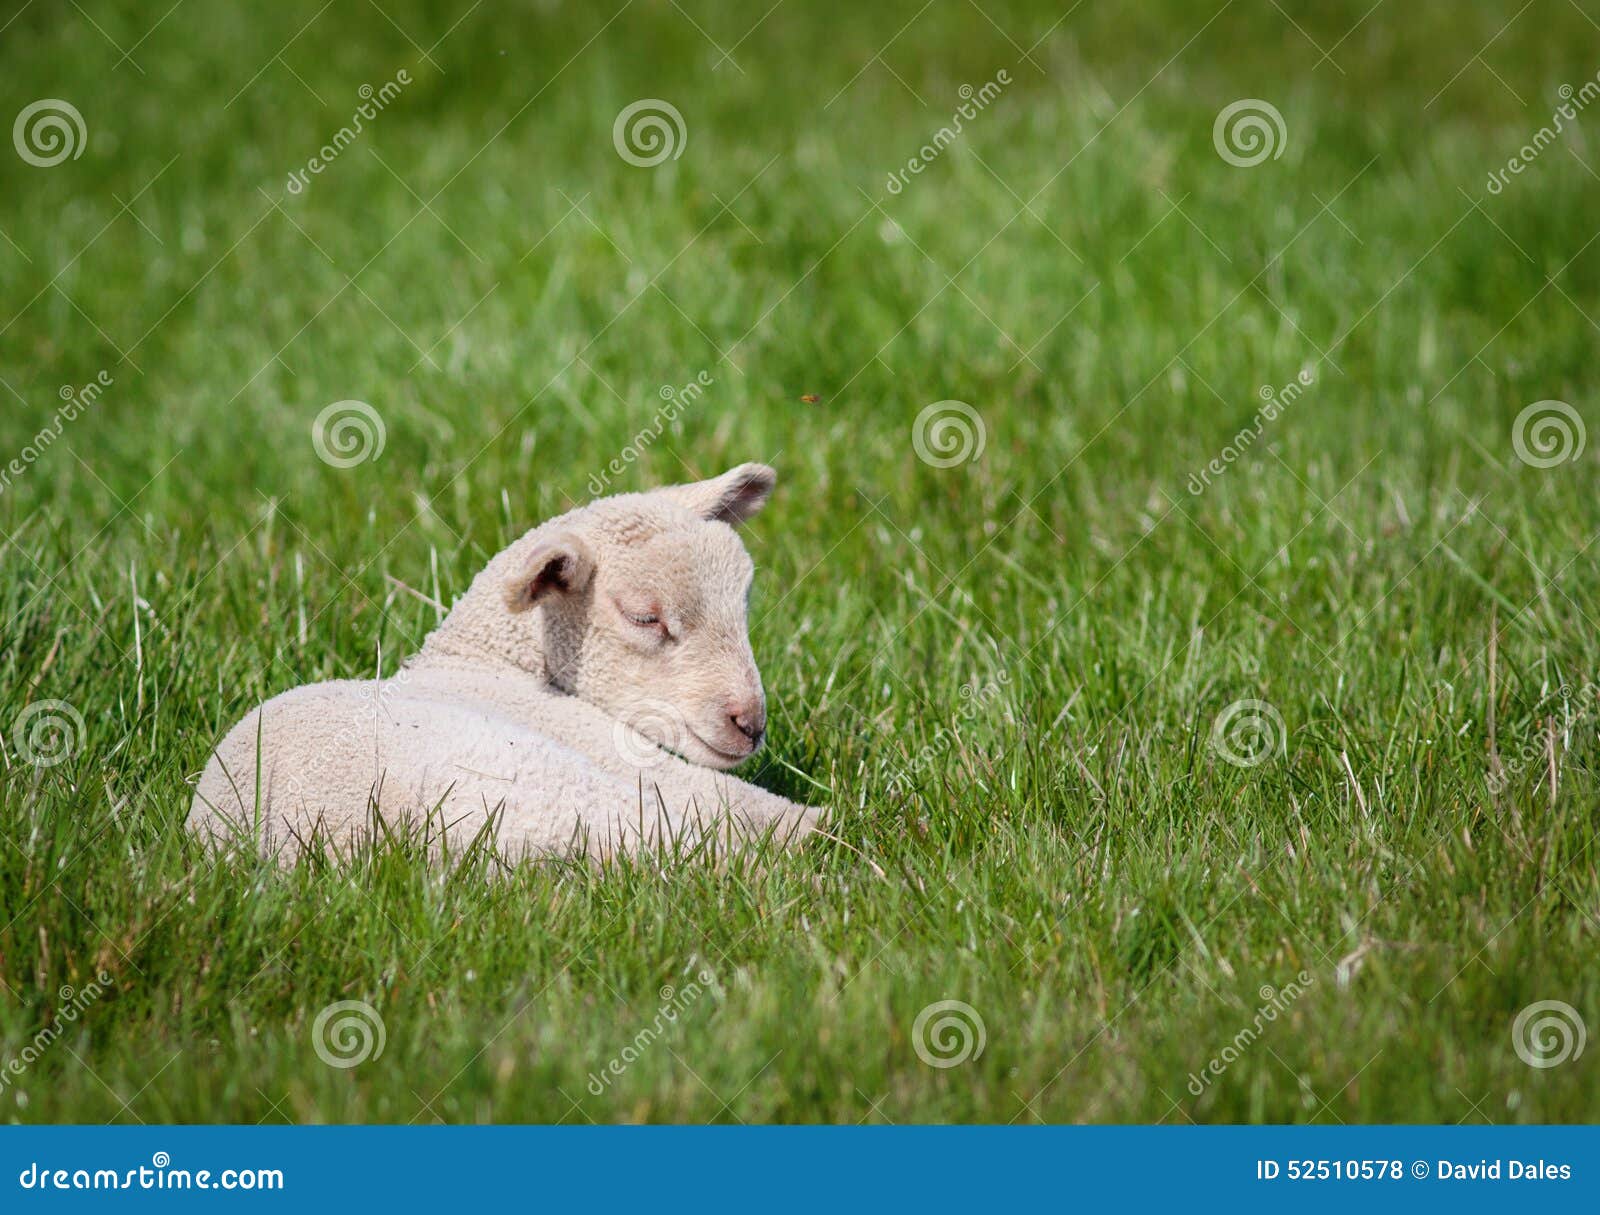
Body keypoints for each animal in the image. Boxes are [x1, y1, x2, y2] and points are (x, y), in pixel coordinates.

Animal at [187, 463, 826, 863]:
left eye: (743, 603)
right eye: (646, 618)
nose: (750, 724)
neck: (483, 663)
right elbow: (733, 799)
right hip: (547, 789)